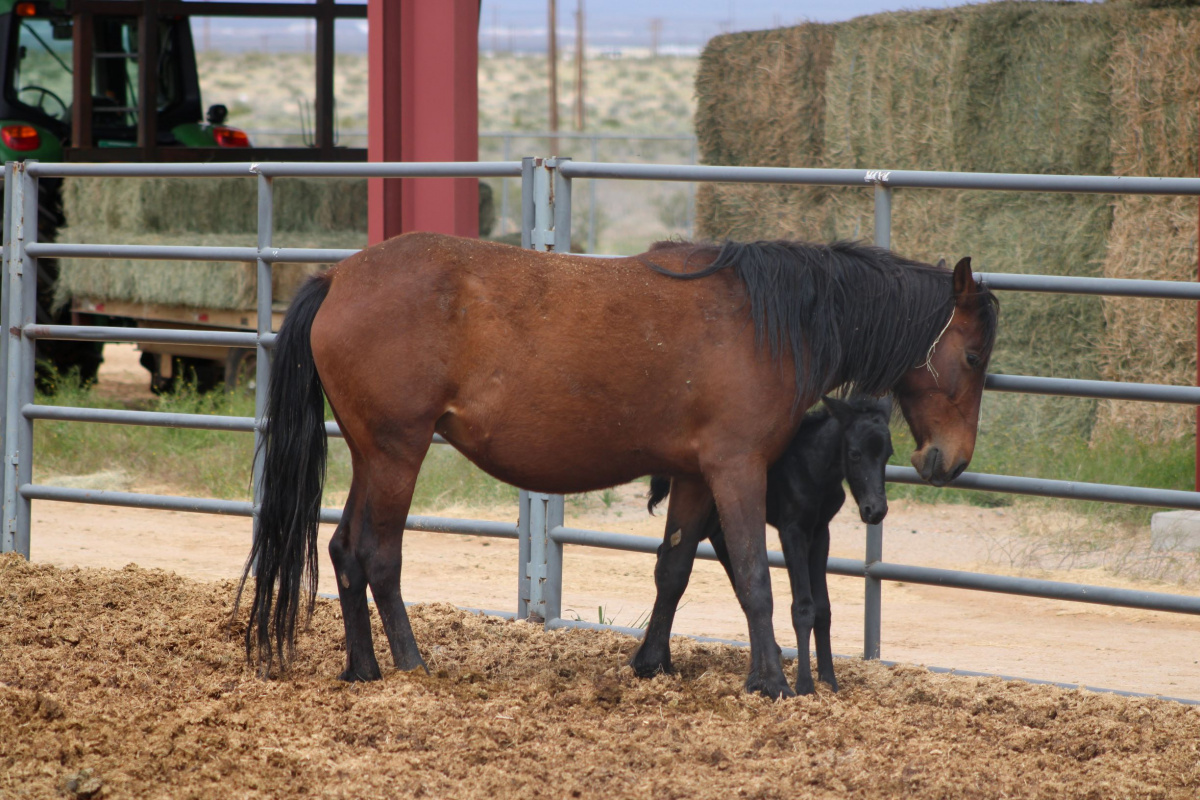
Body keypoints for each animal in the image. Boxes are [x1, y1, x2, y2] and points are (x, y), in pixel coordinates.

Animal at [638, 398, 892, 695]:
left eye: (888, 454)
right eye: (854, 454)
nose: (875, 511)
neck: (811, 466)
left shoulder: (820, 532)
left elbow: (823, 608)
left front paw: (829, 681)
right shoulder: (792, 531)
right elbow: (803, 608)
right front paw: (805, 685)